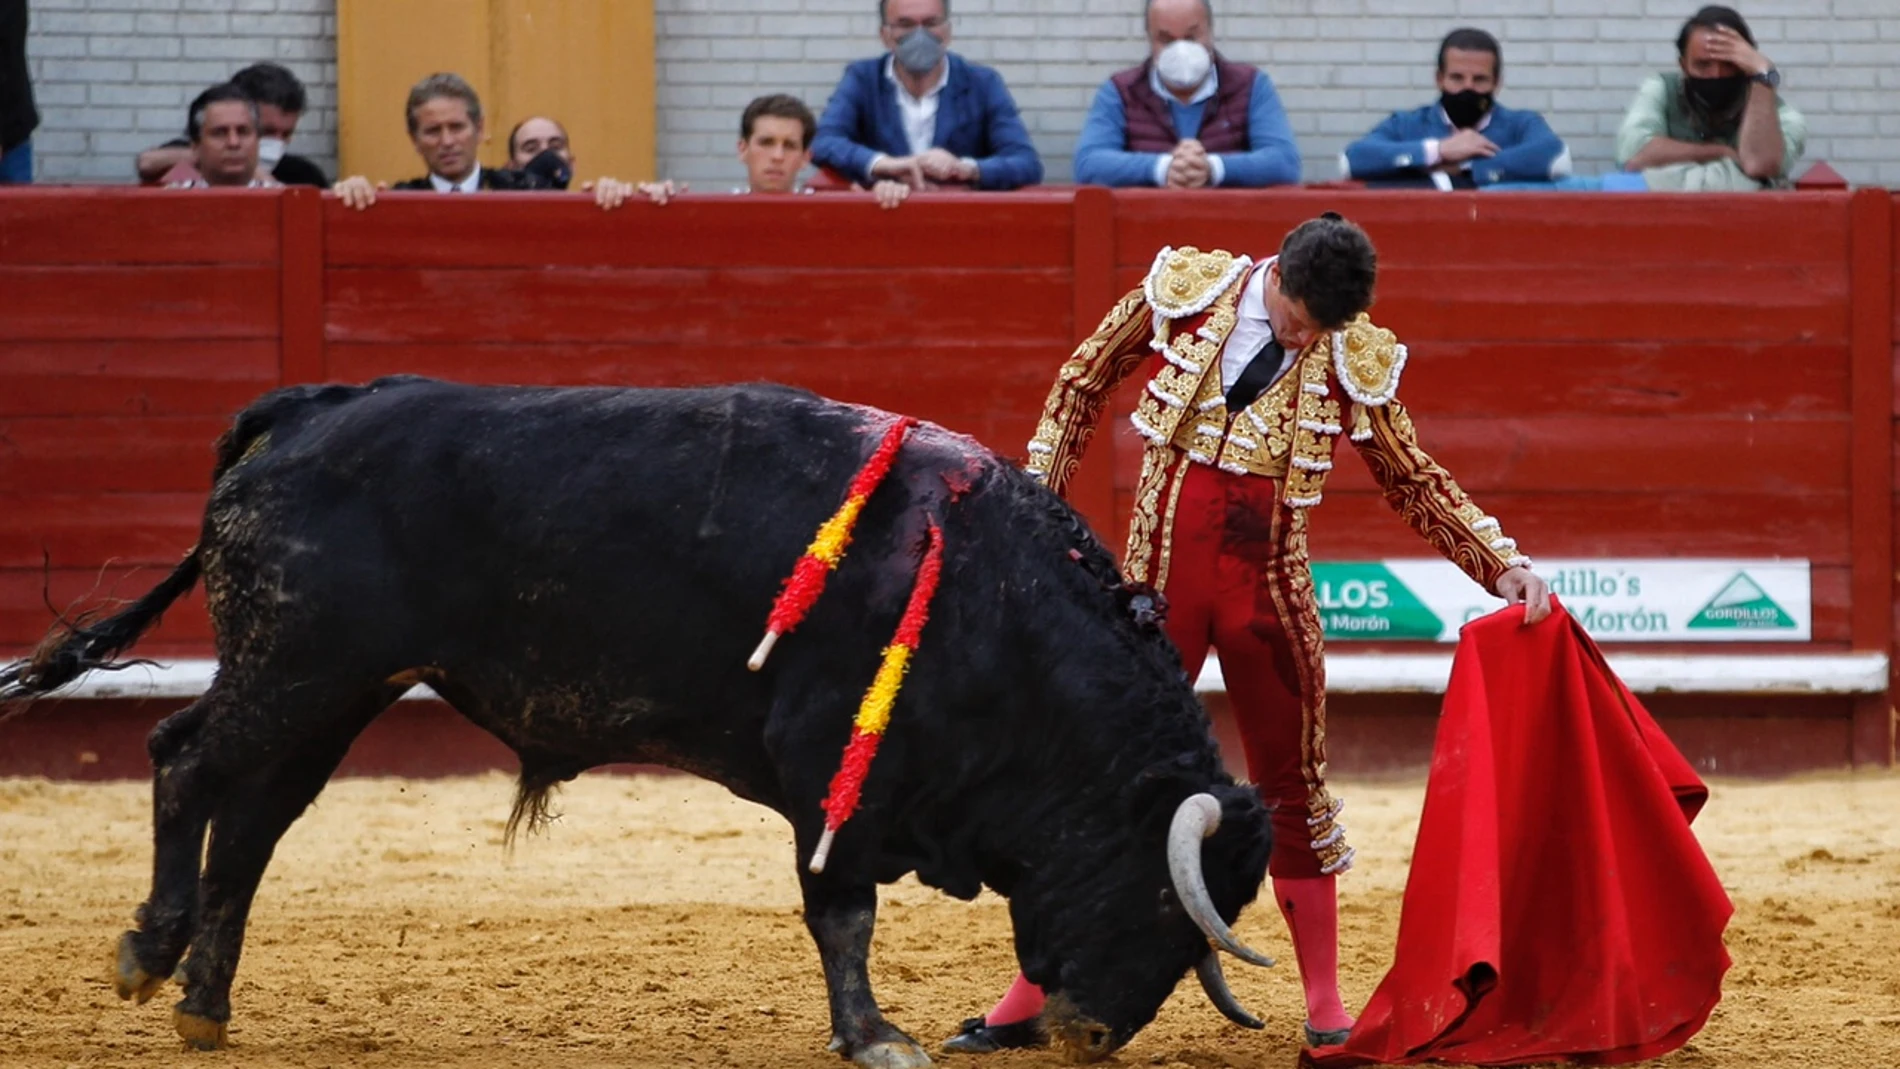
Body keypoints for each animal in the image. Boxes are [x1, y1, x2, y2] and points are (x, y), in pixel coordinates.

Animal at [3, 379, 1276, 1063]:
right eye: (1160, 901)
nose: (1088, 1035)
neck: (994, 599)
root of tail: (310, 406)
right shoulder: (832, 772)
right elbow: (842, 910)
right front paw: (873, 1033)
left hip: (333, 689)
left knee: (254, 824)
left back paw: (205, 1005)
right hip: (293, 667)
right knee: (182, 763)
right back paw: (147, 955)